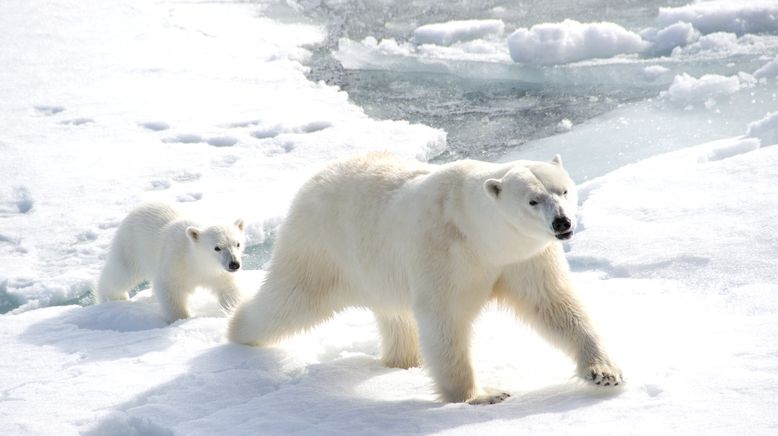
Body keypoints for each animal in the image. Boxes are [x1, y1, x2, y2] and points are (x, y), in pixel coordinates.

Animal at [227, 152, 620, 404]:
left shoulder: (524, 257)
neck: (480, 234)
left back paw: (404, 362)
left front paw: (604, 372)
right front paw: (480, 395)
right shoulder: (443, 251)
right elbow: (444, 318)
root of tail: (315, 177)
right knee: (288, 301)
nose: (562, 222)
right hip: (321, 247)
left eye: (563, 190)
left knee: (395, 317)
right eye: (532, 200)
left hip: (378, 269)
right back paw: (236, 331)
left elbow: (555, 305)